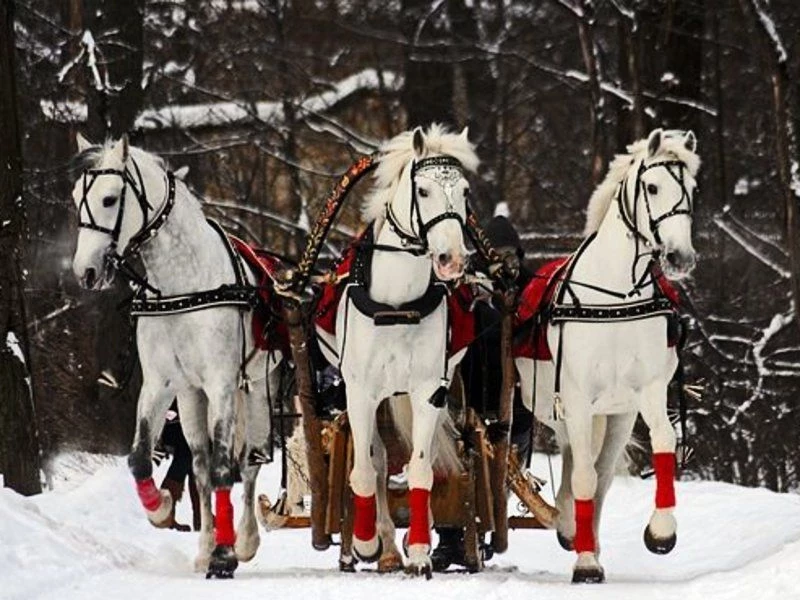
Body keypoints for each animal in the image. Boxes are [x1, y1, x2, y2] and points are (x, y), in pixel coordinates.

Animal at [69, 135, 282, 576]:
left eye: (110, 198)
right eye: (76, 198)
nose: (86, 272)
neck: (182, 287)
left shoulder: (222, 384)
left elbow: (224, 468)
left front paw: (226, 554)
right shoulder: (161, 384)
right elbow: (141, 458)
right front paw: (161, 508)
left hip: (257, 388)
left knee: (249, 463)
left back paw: (243, 541)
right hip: (190, 398)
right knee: (199, 466)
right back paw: (206, 546)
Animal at [316, 125, 478, 576]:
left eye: (465, 191)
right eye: (422, 190)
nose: (452, 259)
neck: (398, 305)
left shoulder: (428, 391)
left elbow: (421, 468)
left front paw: (420, 551)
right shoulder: (359, 392)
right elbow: (365, 471)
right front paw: (366, 542)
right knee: (377, 460)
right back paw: (382, 545)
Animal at [516, 129, 696, 584]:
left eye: (692, 187)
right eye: (653, 187)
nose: (681, 257)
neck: (615, 297)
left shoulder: (647, 390)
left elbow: (662, 443)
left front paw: (661, 532)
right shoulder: (577, 400)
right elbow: (582, 476)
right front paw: (585, 563)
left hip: (615, 416)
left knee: (599, 475)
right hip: (566, 411)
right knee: (578, 470)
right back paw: (573, 530)